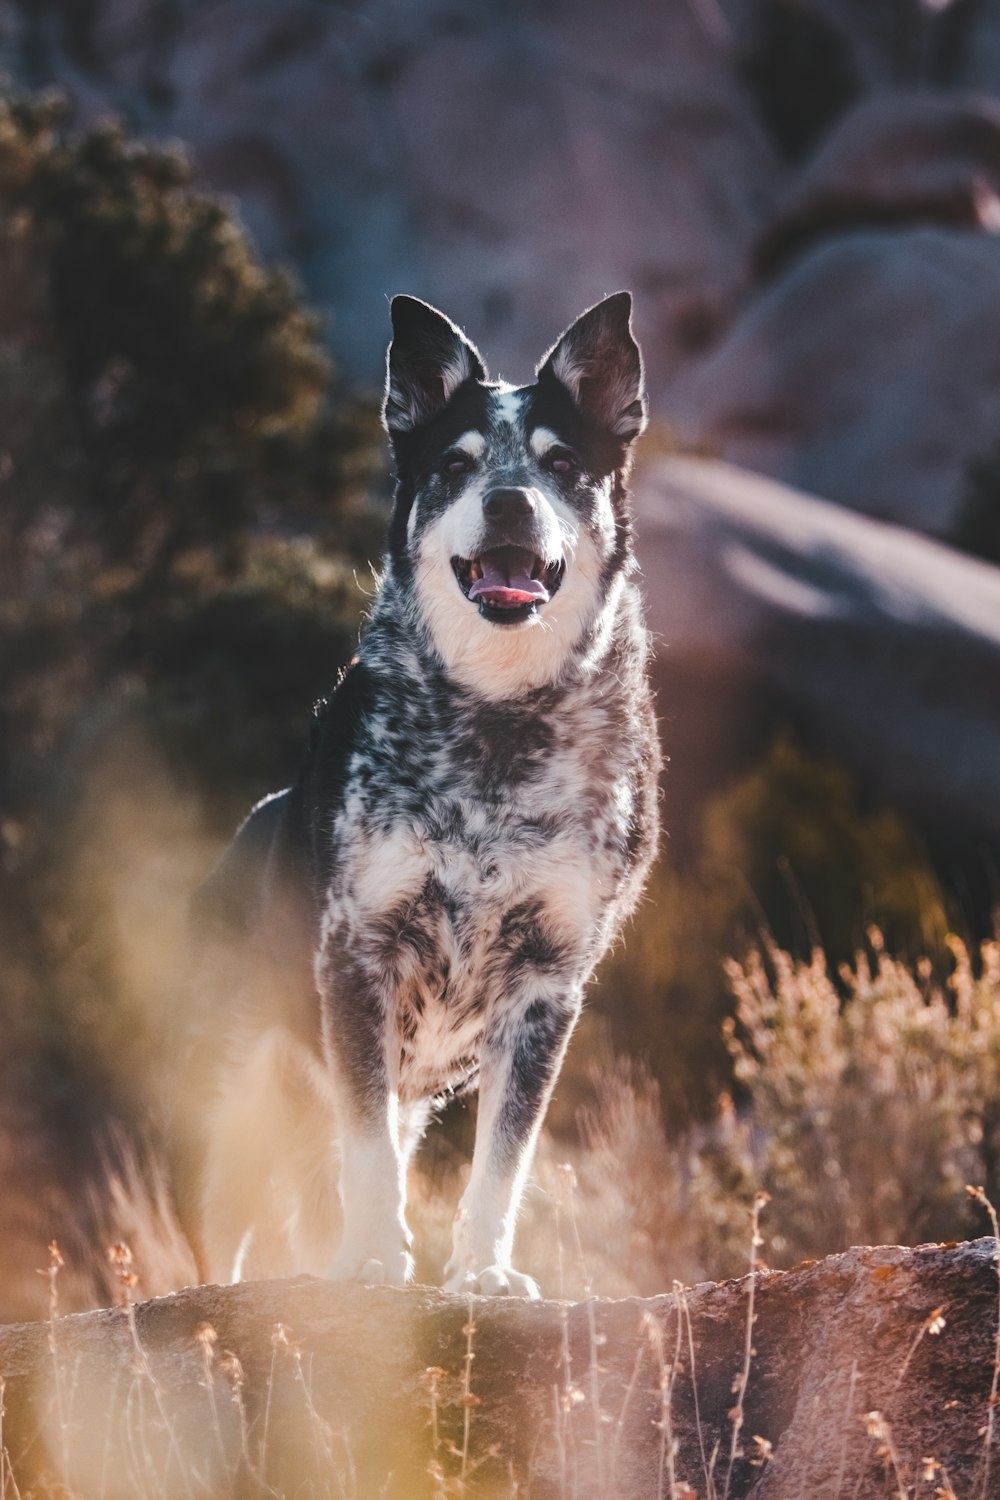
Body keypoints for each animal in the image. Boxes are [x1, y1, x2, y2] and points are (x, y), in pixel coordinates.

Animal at [175, 286, 659, 1296]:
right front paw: (368, 1261)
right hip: (230, 1087)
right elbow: (365, 1153)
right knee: (221, 1223)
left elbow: (502, 1160)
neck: (497, 721)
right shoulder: (360, 951)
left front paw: (482, 1273)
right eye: (456, 464)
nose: (509, 498)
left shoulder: (547, 985)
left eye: (561, 463)